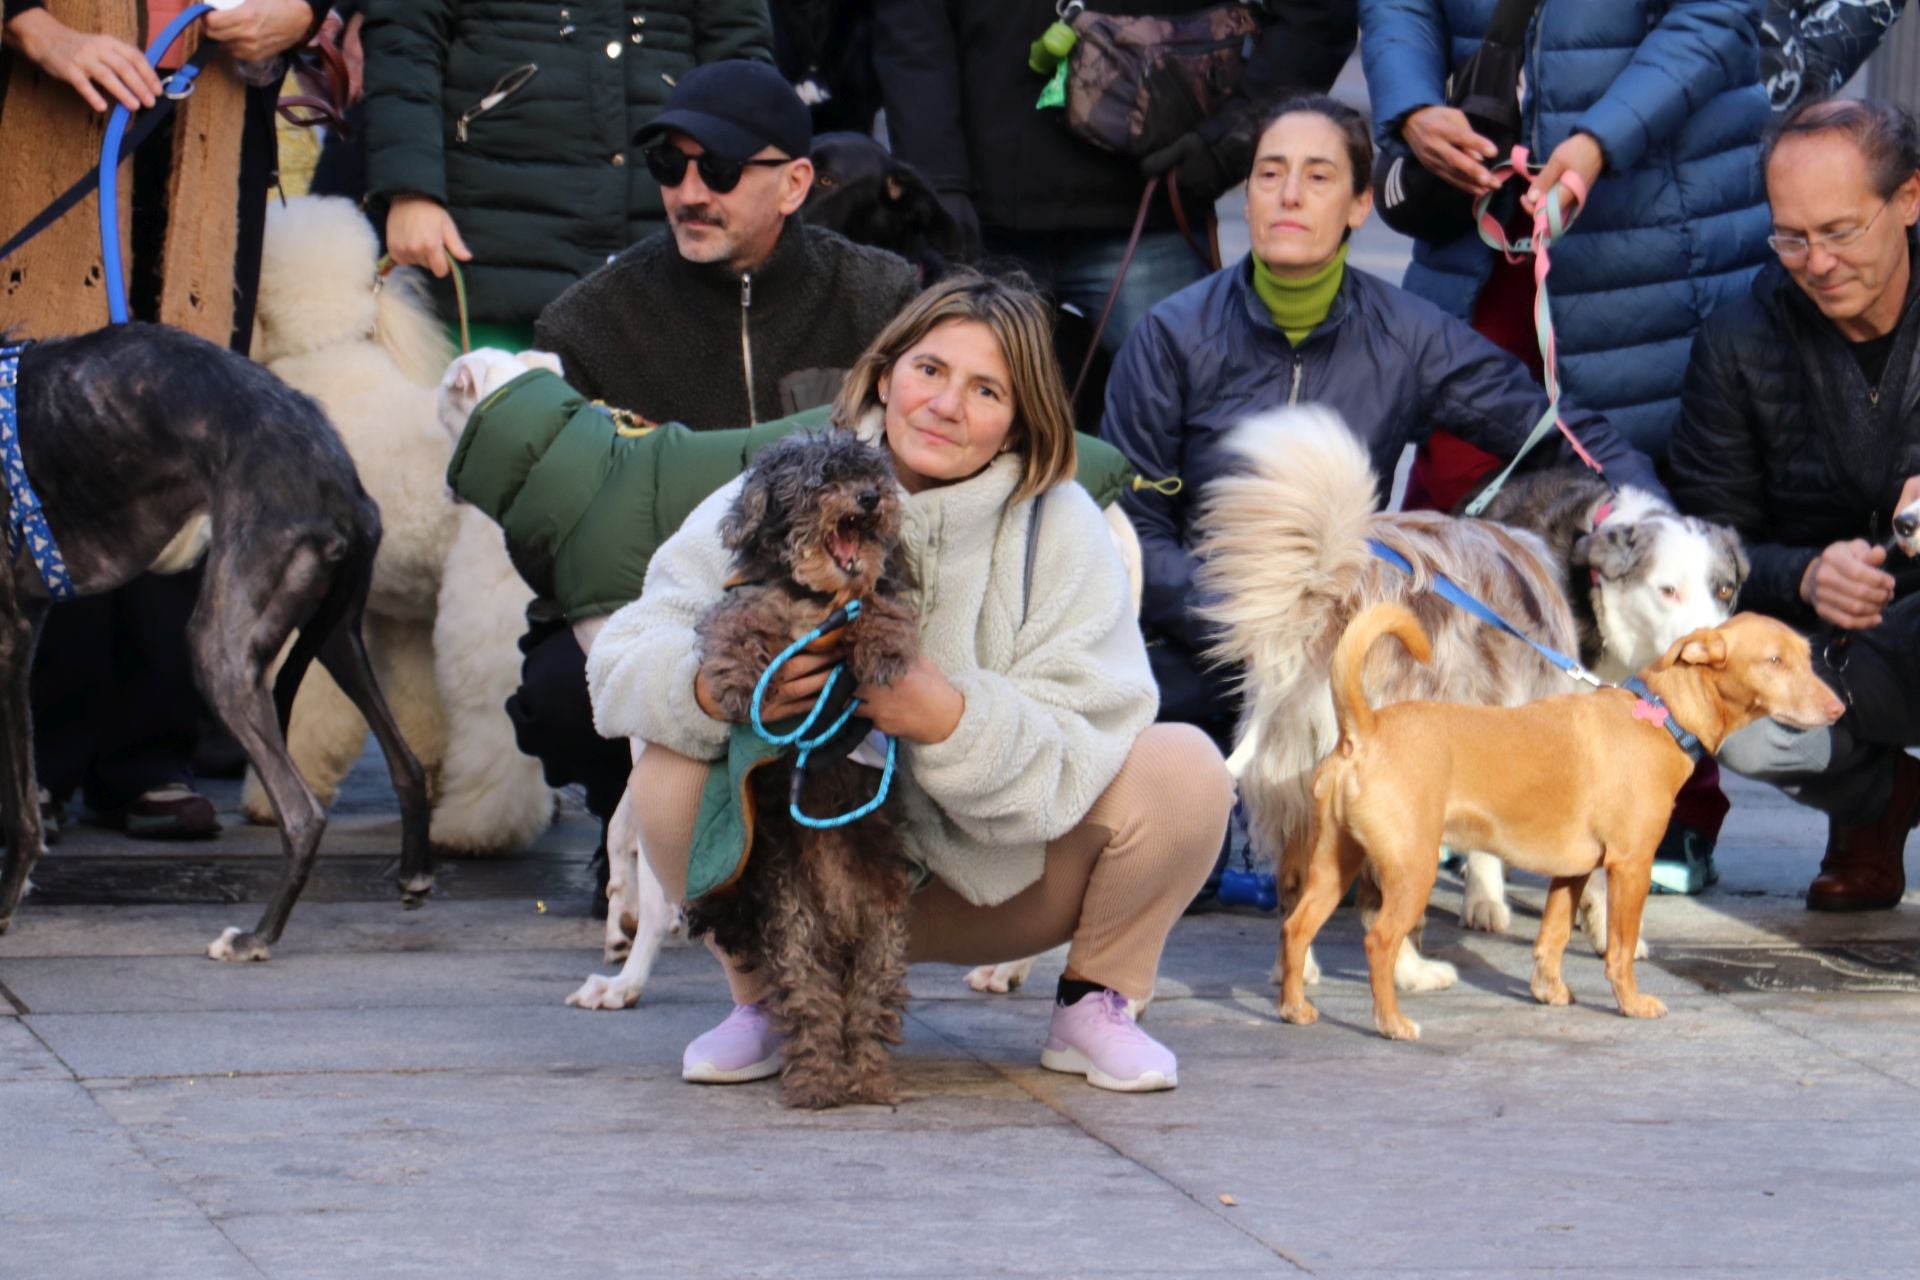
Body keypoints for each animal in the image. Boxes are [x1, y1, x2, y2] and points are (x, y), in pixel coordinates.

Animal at [243, 197, 552, 852]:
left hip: (482, 616)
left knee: (496, 726)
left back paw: (473, 829)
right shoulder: (405, 616)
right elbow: (418, 705)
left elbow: (305, 706)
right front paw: (428, 778)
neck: (327, 358)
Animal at [1274, 602, 1843, 1043]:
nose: (1839, 708)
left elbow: (1551, 939)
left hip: (1335, 865)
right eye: (1773, 661)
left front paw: (1548, 992)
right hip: (1411, 870)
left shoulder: (1572, 871)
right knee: (1379, 941)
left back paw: (1293, 1007)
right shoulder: (1630, 866)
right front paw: (1631, 1003)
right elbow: (1620, 949)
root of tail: (1365, 728)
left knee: (1296, 927)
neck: (1662, 717)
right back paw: (1391, 1022)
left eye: (1807, 657)